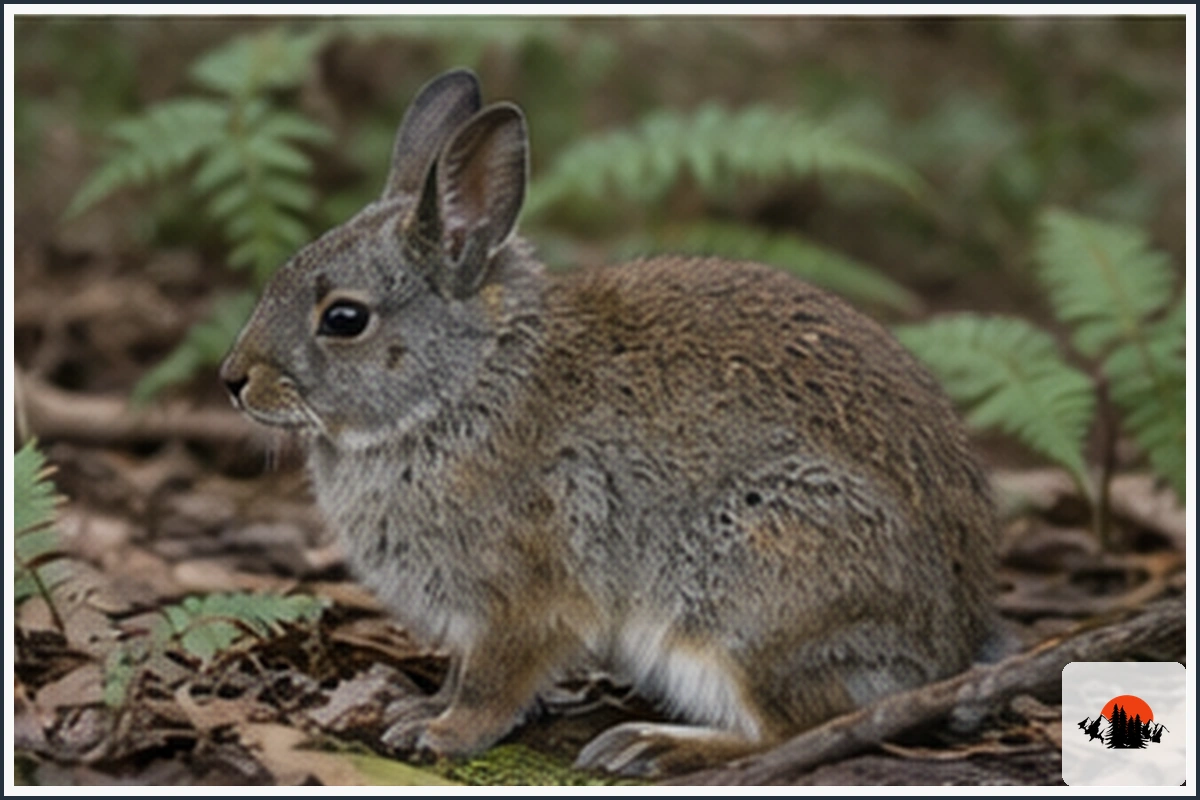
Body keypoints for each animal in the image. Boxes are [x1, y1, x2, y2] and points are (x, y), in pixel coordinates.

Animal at [219, 68, 997, 777]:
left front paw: (444, 733)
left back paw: (652, 745)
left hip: (752, 590)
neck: (462, 383)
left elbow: (494, 681)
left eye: (345, 318)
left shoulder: (525, 598)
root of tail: (945, 650)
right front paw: (420, 707)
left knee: (803, 725)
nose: (233, 379)